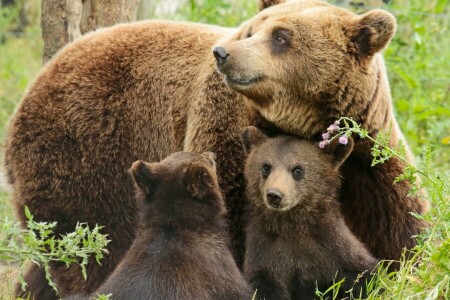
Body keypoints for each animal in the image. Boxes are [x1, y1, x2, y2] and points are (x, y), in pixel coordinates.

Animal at [3, 0, 426, 298]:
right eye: (254, 29)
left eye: (281, 36)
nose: (223, 53)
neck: (309, 124)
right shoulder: (229, 128)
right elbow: (232, 223)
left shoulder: (368, 154)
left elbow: (398, 228)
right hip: (87, 154)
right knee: (90, 248)